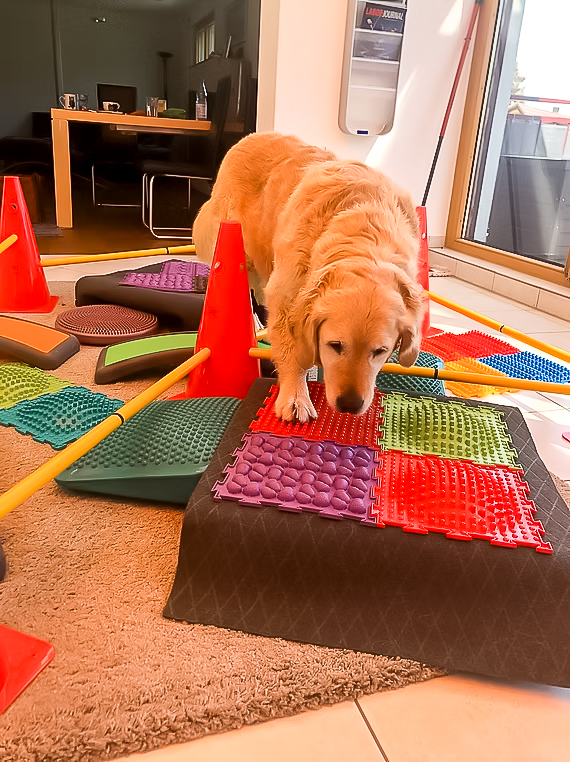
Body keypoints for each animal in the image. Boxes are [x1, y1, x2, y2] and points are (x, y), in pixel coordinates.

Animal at [193, 132, 425, 422]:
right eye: (335, 345)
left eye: (380, 352)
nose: (350, 404)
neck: (365, 233)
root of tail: (250, 136)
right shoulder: (286, 294)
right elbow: (293, 351)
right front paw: (295, 397)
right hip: (235, 239)